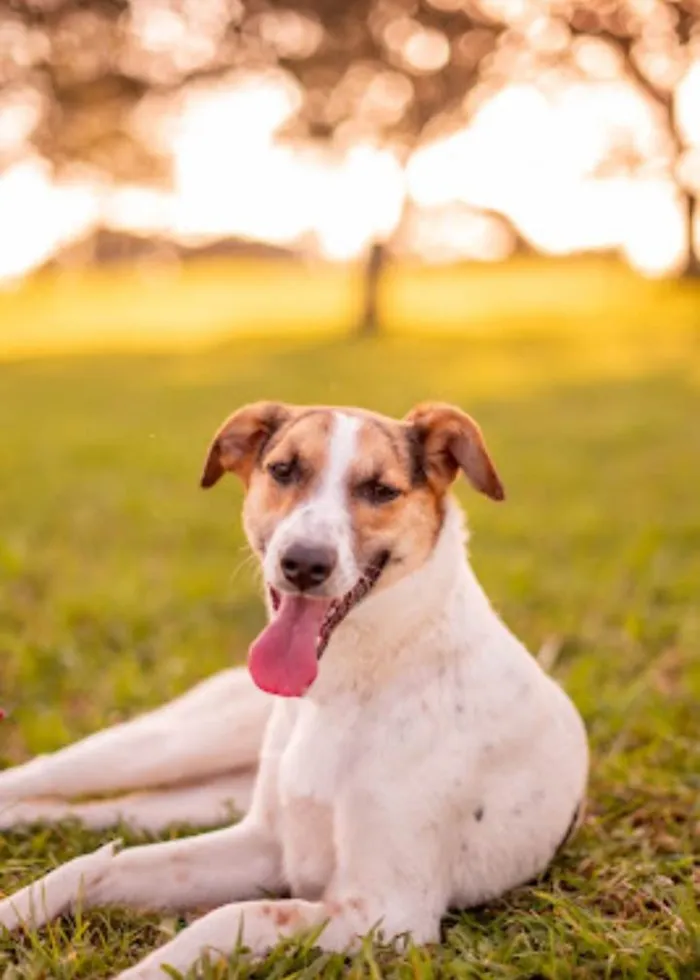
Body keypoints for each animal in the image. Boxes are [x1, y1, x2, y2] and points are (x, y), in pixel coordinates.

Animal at [0, 400, 592, 980]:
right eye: (283, 470)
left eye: (380, 490)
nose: (305, 563)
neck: (339, 691)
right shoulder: (265, 844)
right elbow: (94, 866)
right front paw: (13, 912)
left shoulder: (383, 912)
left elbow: (229, 914)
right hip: (167, 744)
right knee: (46, 777)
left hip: (193, 799)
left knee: (100, 810)